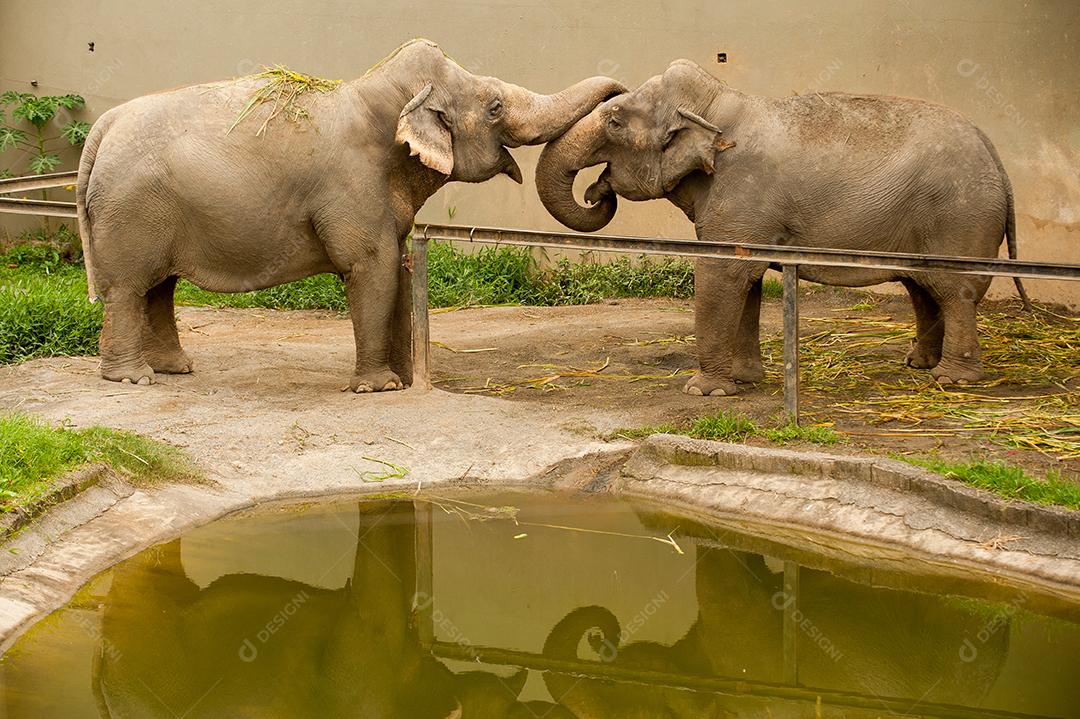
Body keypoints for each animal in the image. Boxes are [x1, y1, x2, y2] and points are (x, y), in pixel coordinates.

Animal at [76, 39, 622, 392]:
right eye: (494, 107)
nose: (619, 94)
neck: (380, 97)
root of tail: (103, 127)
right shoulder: (352, 187)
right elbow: (371, 266)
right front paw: (379, 388)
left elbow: (396, 264)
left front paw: (402, 381)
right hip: (132, 209)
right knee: (129, 287)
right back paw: (133, 378)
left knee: (159, 287)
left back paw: (176, 370)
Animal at [535, 60, 1032, 397]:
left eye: (615, 121)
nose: (597, 192)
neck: (716, 104)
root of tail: (995, 156)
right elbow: (745, 279)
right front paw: (742, 379)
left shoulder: (741, 190)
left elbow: (721, 275)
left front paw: (703, 391)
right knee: (923, 289)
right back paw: (918, 364)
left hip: (959, 217)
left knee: (954, 291)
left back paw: (953, 379)